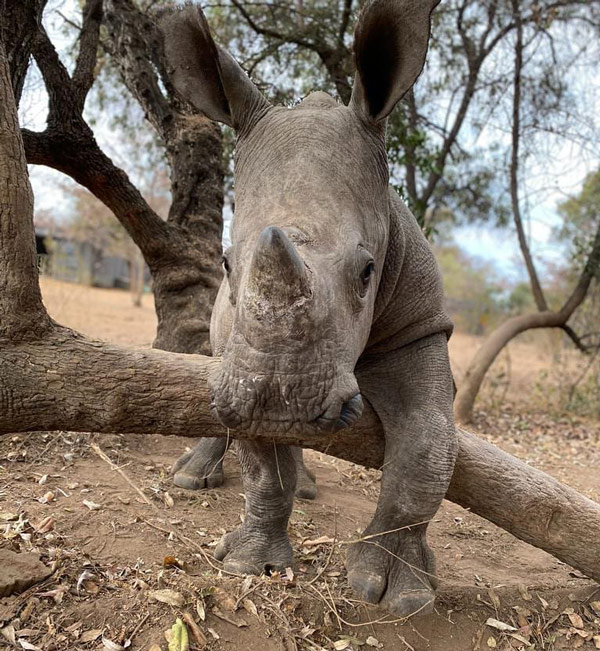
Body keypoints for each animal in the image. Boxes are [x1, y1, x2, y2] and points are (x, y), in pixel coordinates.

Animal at [159, 0, 454, 620]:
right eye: (225, 264)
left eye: (367, 272)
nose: (281, 403)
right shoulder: (240, 357)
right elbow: (261, 465)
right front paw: (251, 564)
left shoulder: (420, 328)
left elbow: (427, 446)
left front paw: (396, 593)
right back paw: (192, 480)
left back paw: (308, 482)